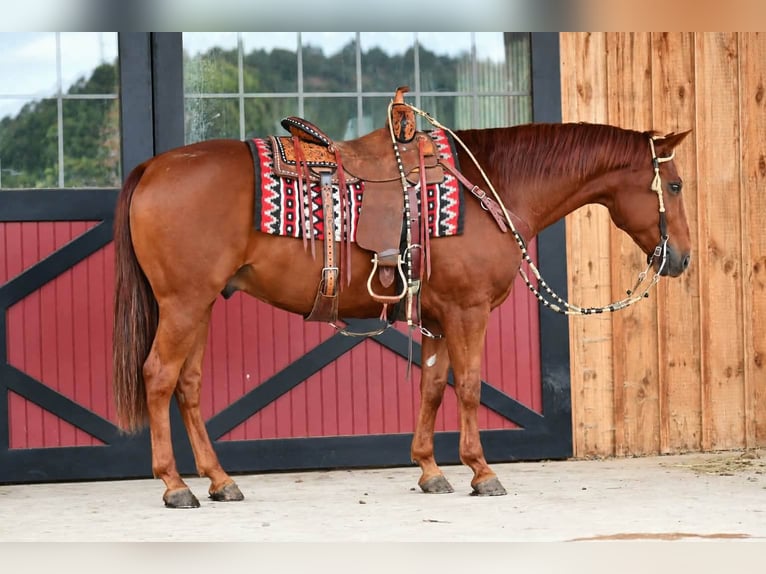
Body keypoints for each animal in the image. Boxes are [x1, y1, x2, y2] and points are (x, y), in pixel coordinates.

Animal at [112, 115, 691, 508]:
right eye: (677, 185)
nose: (680, 258)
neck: (492, 187)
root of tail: (153, 166)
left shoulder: (437, 318)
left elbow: (433, 387)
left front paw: (431, 471)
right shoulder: (468, 311)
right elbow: (470, 386)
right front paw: (482, 473)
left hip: (202, 304)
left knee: (187, 386)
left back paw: (220, 481)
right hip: (184, 303)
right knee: (158, 376)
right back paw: (174, 485)